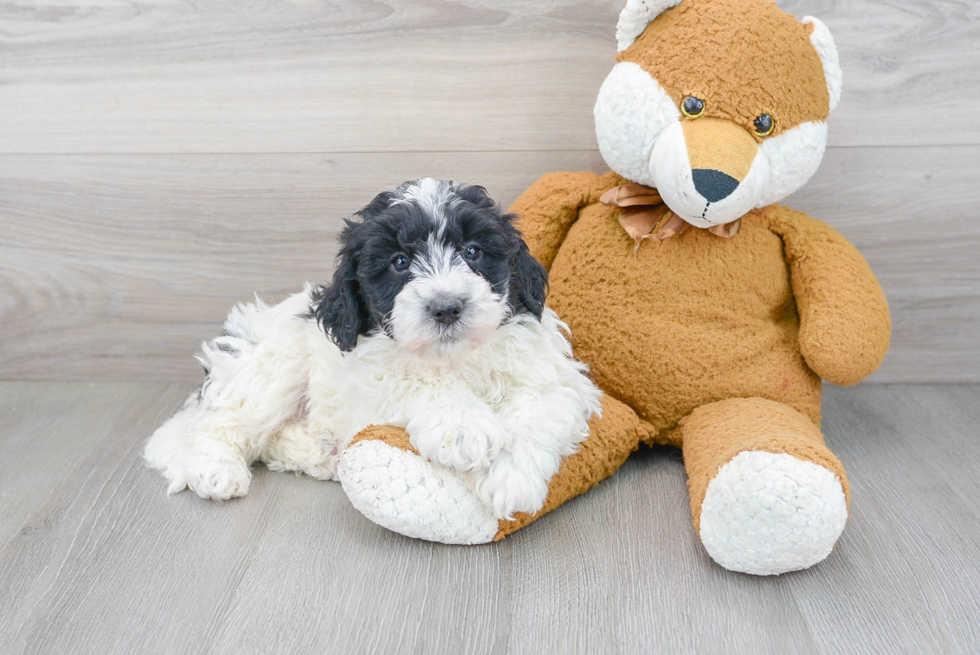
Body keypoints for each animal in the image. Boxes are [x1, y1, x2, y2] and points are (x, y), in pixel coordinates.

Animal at [144, 178, 604, 516]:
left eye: (473, 251)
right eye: (399, 262)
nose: (446, 308)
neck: (454, 359)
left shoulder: (555, 377)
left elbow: (539, 405)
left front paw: (510, 478)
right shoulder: (370, 377)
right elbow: (417, 383)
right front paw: (464, 427)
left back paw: (319, 452)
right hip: (269, 367)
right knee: (215, 425)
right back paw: (217, 470)